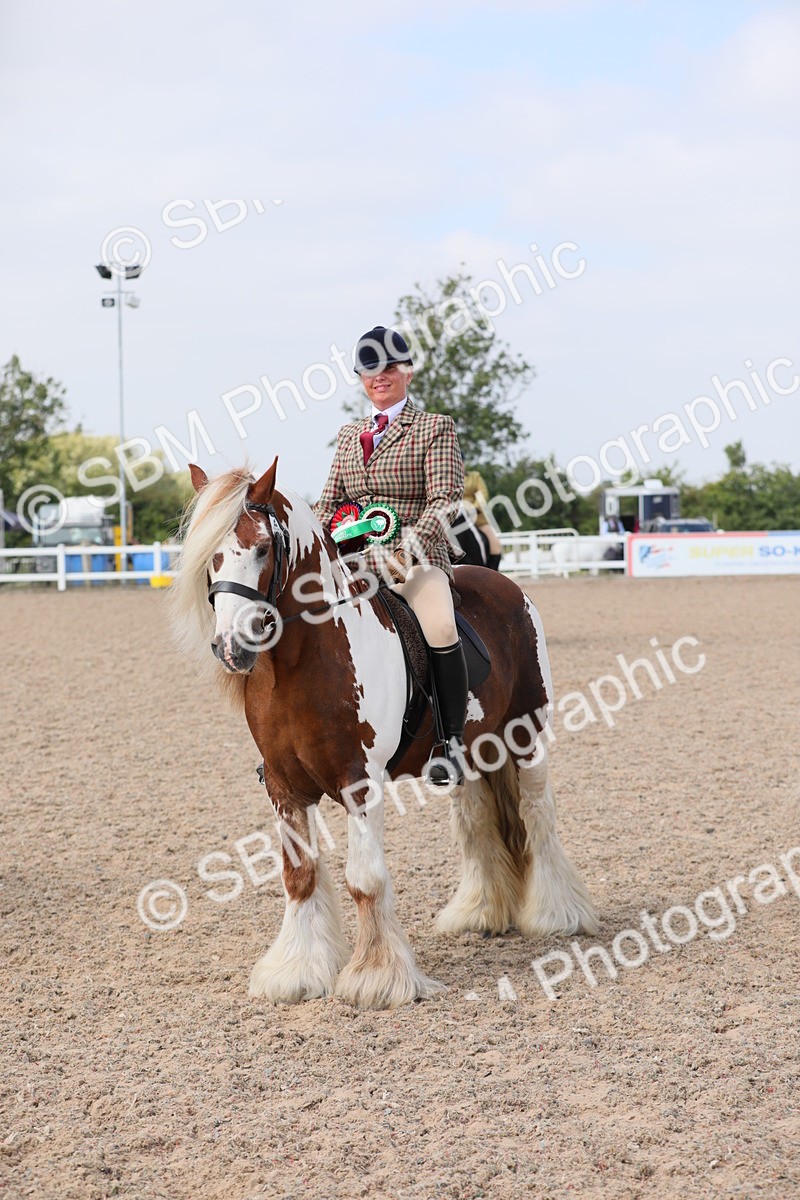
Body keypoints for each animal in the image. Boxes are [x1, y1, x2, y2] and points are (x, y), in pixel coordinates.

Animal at [170, 459, 598, 1009]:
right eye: (212, 555)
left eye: (263, 547)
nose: (232, 646)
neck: (304, 662)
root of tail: (505, 586)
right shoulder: (284, 787)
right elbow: (299, 876)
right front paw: (296, 972)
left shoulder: (360, 783)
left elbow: (365, 880)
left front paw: (378, 977)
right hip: (474, 751)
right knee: (476, 820)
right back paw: (479, 912)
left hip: (526, 739)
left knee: (537, 816)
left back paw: (556, 915)